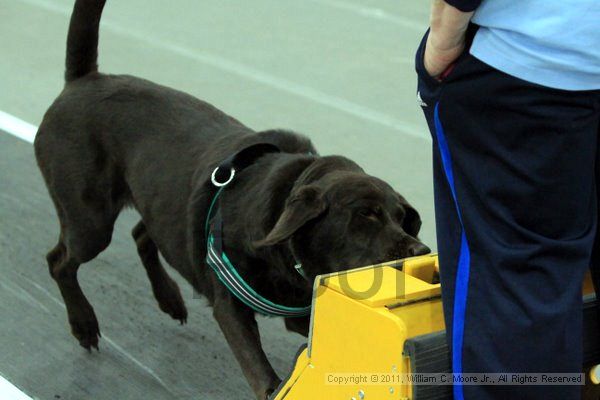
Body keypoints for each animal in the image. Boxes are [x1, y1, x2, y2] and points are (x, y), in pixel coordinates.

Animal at [34, 1, 432, 398]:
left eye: (402, 217)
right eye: (365, 214)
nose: (421, 251)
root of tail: (84, 80)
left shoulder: (303, 315)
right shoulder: (230, 306)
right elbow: (260, 371)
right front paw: (274, 386)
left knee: (142, 234)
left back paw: (169, 298)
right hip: (90, 221)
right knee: (59, 260)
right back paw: (84, 323)